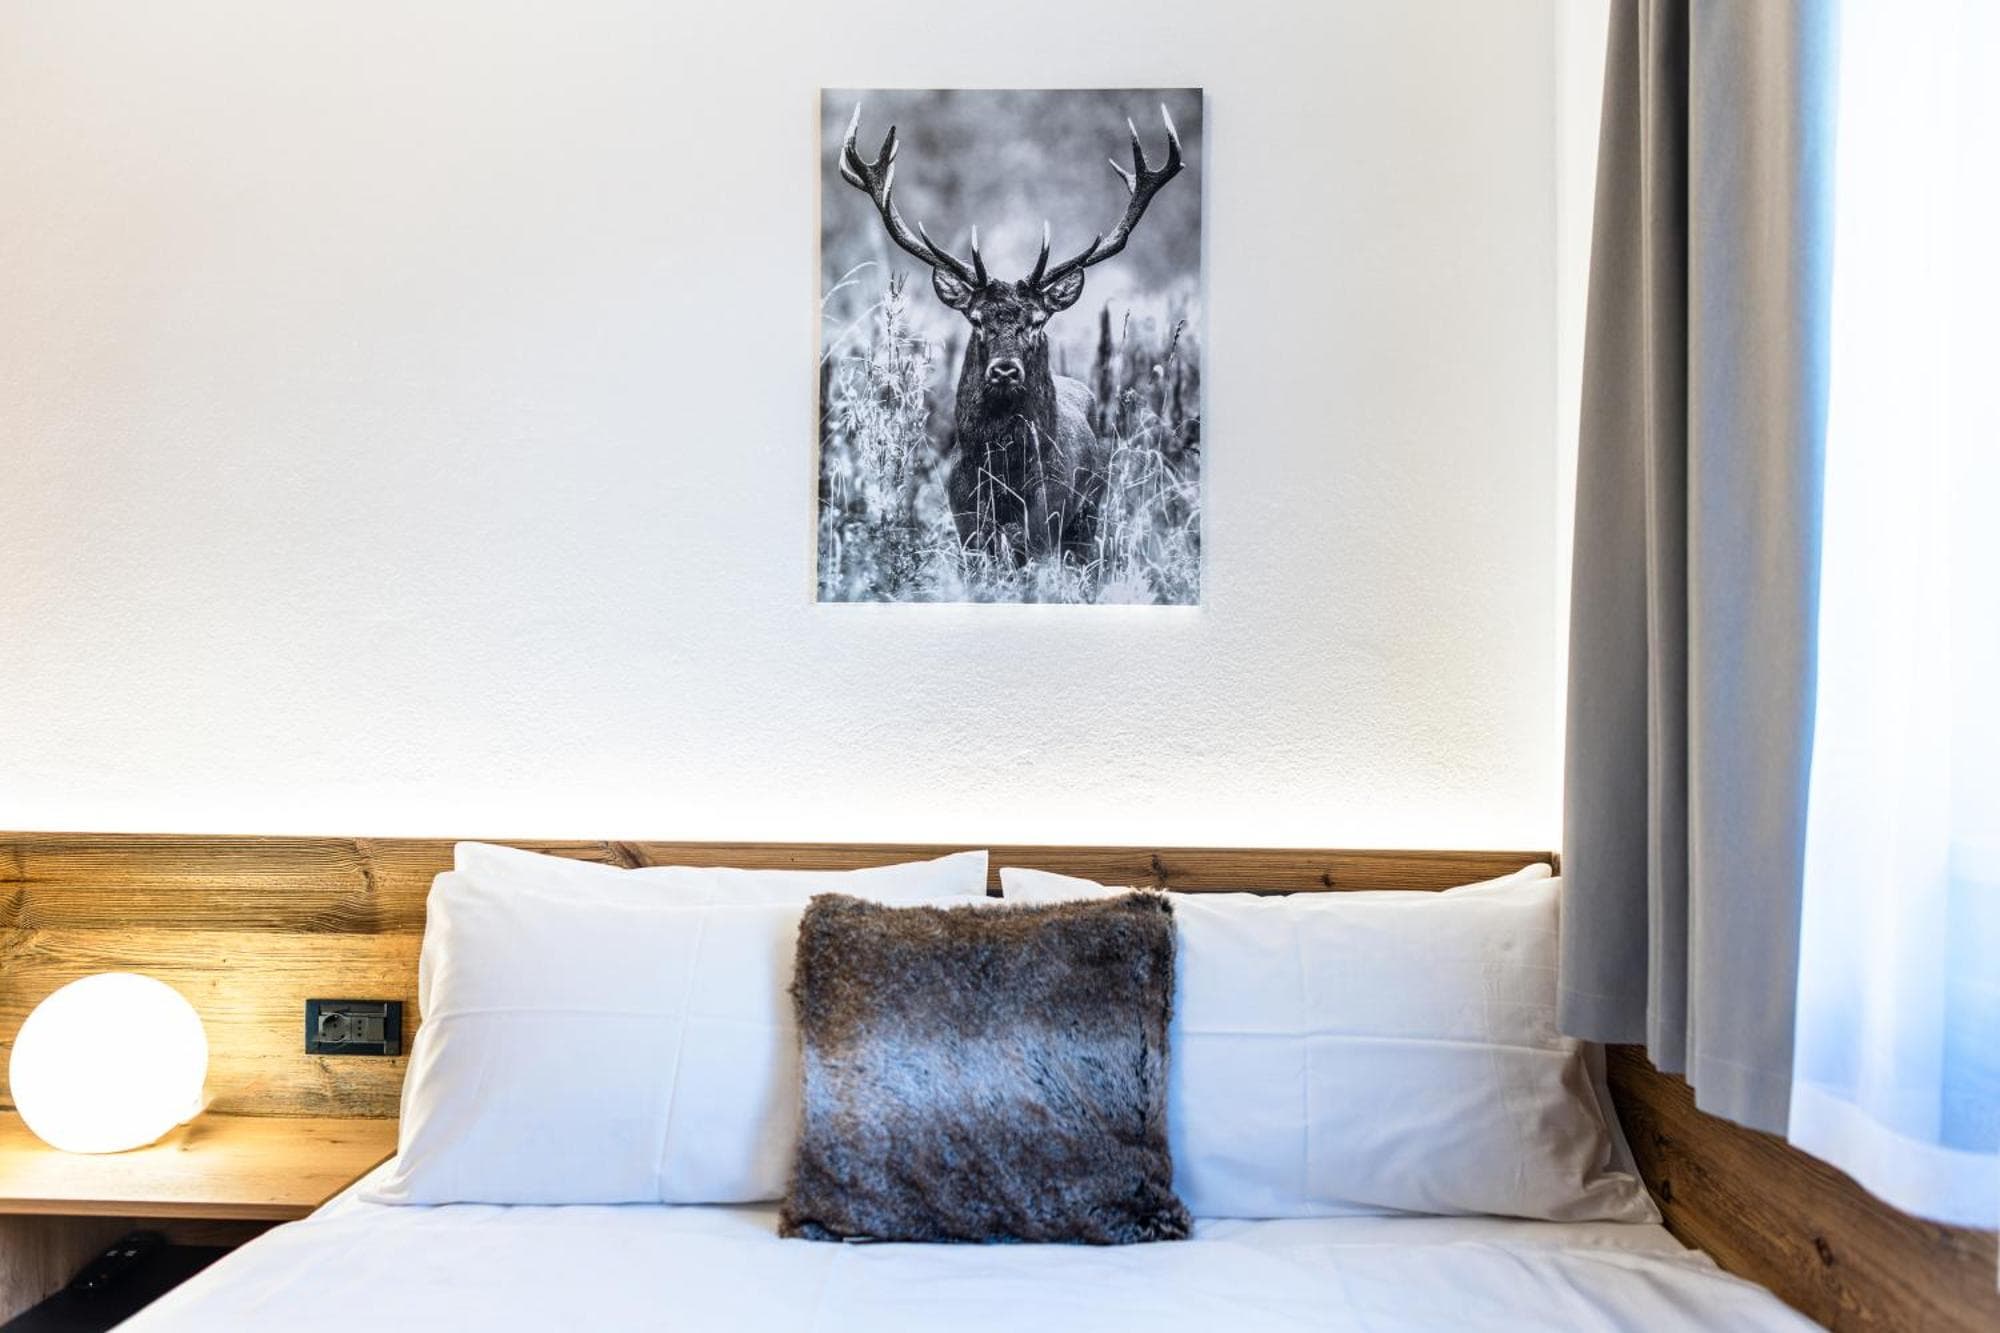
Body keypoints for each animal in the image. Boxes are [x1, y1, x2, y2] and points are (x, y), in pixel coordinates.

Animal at [839, 103, 1184, 566]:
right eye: (976, 319)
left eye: (1038, 320)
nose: (1005, 370)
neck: (1005, 476)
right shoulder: (964, 521)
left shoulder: (1045, 523)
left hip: (1090, 512)